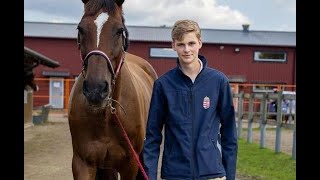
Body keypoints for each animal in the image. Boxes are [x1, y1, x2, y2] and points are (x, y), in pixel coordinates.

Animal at [68, 0, 158, 179]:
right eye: (80, 29)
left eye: (119, 30)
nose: (95, 89)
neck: (107, 116)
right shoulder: (82, 163)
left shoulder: (130, 165)